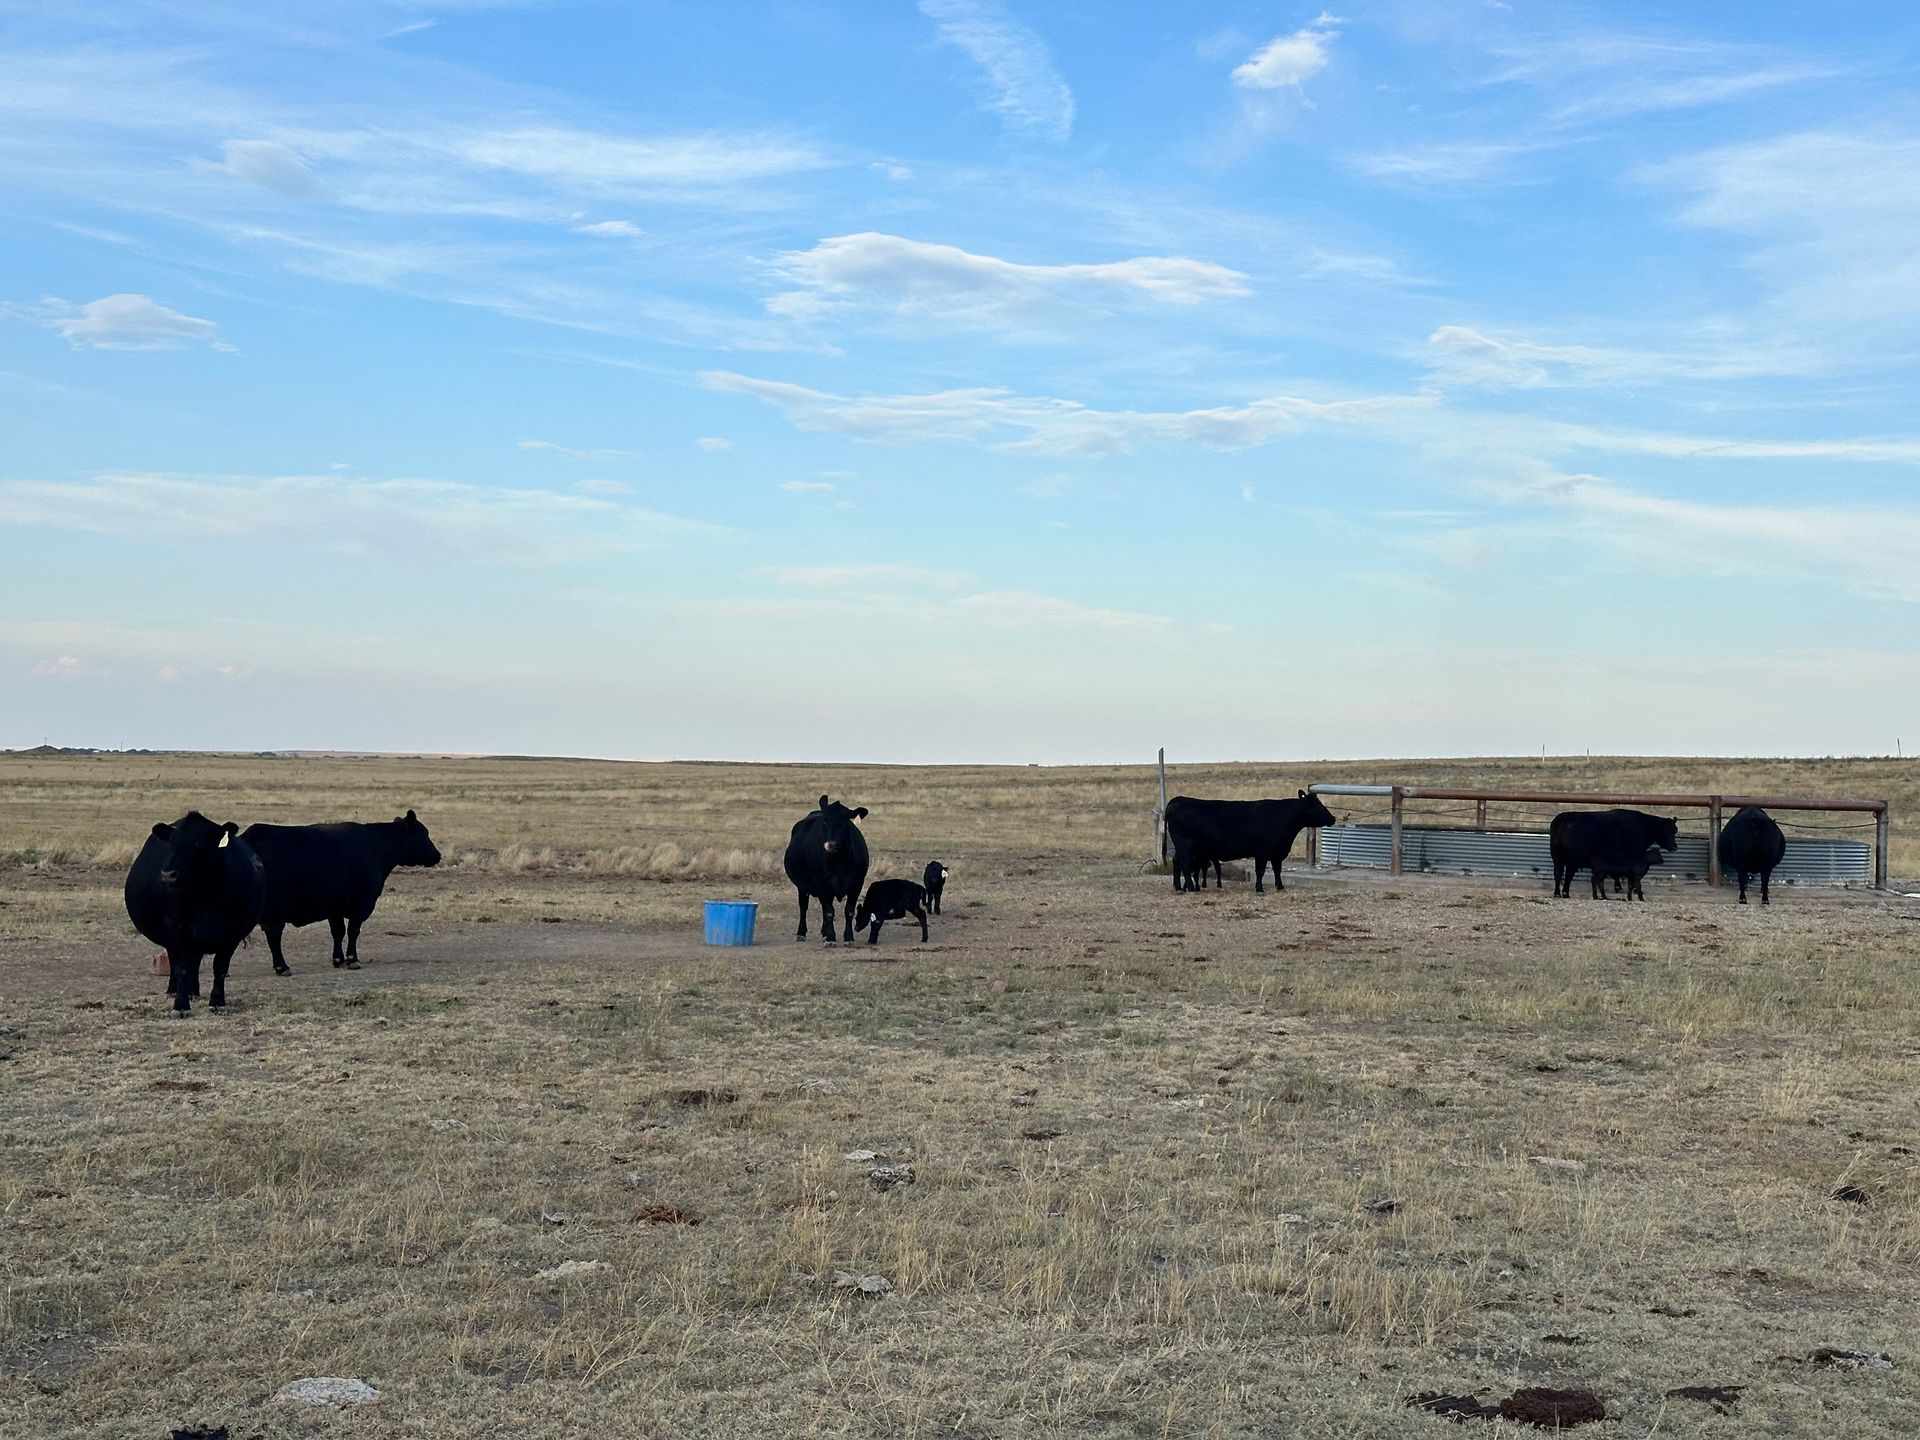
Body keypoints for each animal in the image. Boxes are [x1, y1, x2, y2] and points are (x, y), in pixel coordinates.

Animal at [124, 812, 266, 1017]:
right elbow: (181, 967)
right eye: (172, 842)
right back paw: (176, 991)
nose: (168, 874)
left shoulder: (233, 932)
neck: (206, 897)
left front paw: (217, 1002)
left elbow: (220, 967)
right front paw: (180, 1006)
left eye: (199, 842)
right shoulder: (176, 927)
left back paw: (193, 991)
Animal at [241, 810, 442, 974]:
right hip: (275, 910)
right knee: (274, 935)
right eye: (424, 834)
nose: (437, 855)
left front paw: (338, 959)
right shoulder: (363, 901)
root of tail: (253, 835)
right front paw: (353, 960)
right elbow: (353, 930)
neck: (375, 845)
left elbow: (338, 932)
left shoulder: (334, 906)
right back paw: (282, 967)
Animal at [783, 796, 869, 943]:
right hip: (802, 887)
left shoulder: (857, 883)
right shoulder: (822, 884)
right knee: (803, 907)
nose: (830, 844)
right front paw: (830, 938)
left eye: (844, 822)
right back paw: (801, 933)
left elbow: (849, 910)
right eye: (824, 822)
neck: (840, 862)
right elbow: (829, 911)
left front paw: (848, 937)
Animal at [1163, 791, 1337, 894]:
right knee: (1185, 865)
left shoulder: (1277, 852)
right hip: (1185, 846)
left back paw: (1179, 888)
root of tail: (1179, 800)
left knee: (1177, 862)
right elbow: (1260, 871)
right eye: (1318, 805)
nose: (1333, 818)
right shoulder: (1262, 851)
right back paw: (1191, 888)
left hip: (1185, 848)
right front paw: (1259, 889)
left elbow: (1277, 870)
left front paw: (1280, 886)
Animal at [1550, 809, 1679, 899]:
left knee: (1558, 873)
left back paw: (1558, 893)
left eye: (1675, 830)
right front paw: (1632, 889)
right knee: (1568, 875)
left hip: (1556, 857)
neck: (1643, 826)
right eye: (1666, 830)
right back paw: (1565, 893)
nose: (1675, 847)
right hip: (1572, 860)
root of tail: (1564, 819)